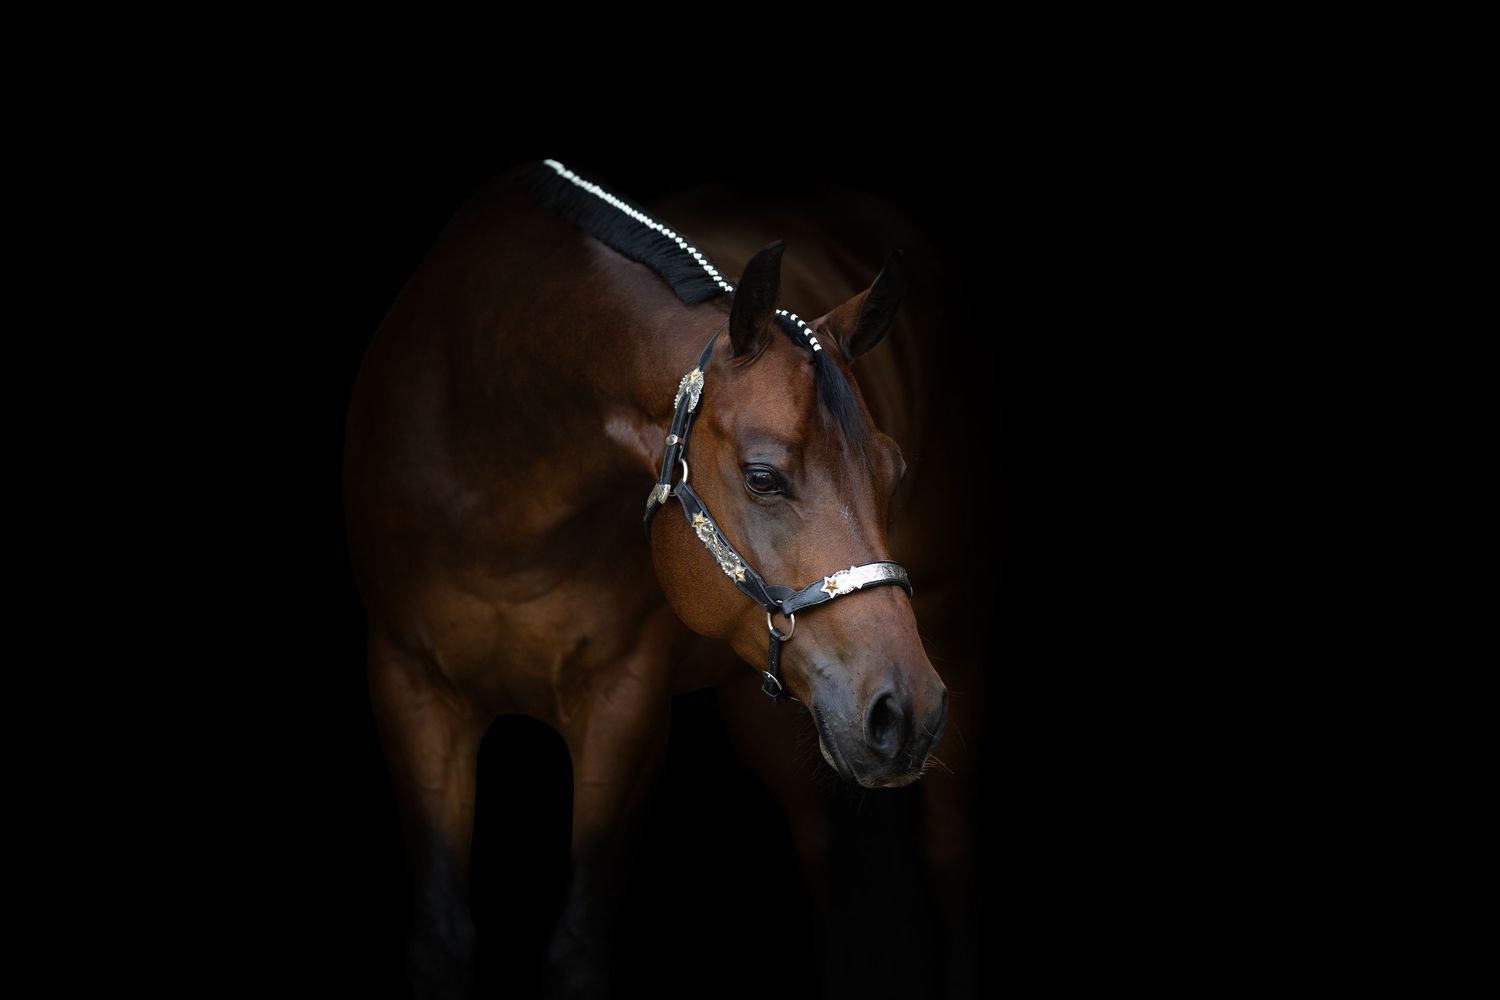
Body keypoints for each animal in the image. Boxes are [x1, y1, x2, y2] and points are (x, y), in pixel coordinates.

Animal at [344, 159, 983, 998]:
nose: (903, 714)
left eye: (894, 472)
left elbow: (579, 945)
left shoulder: (624, 707)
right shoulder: (408, 689)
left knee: (948, 856)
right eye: (762, 476)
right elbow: (440, 940)